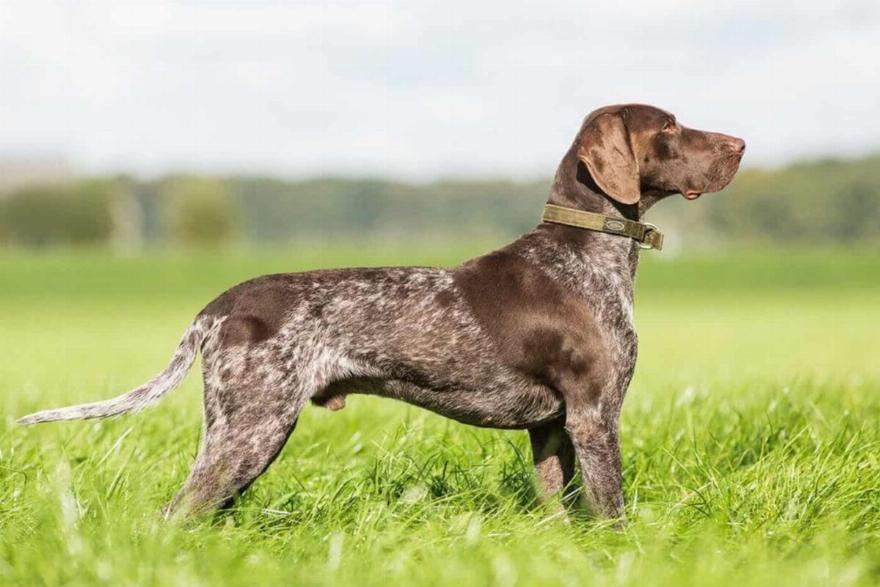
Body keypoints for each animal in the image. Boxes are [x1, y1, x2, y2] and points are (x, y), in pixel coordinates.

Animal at [18, 104, 745, 521]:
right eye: (669, 128)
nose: (739, 143)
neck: (586, 252)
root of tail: (220, 305)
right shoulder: (595, 415)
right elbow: (612, 510)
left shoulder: (551, 427)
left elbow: (559, 512)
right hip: (250, 430)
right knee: (176, 515)